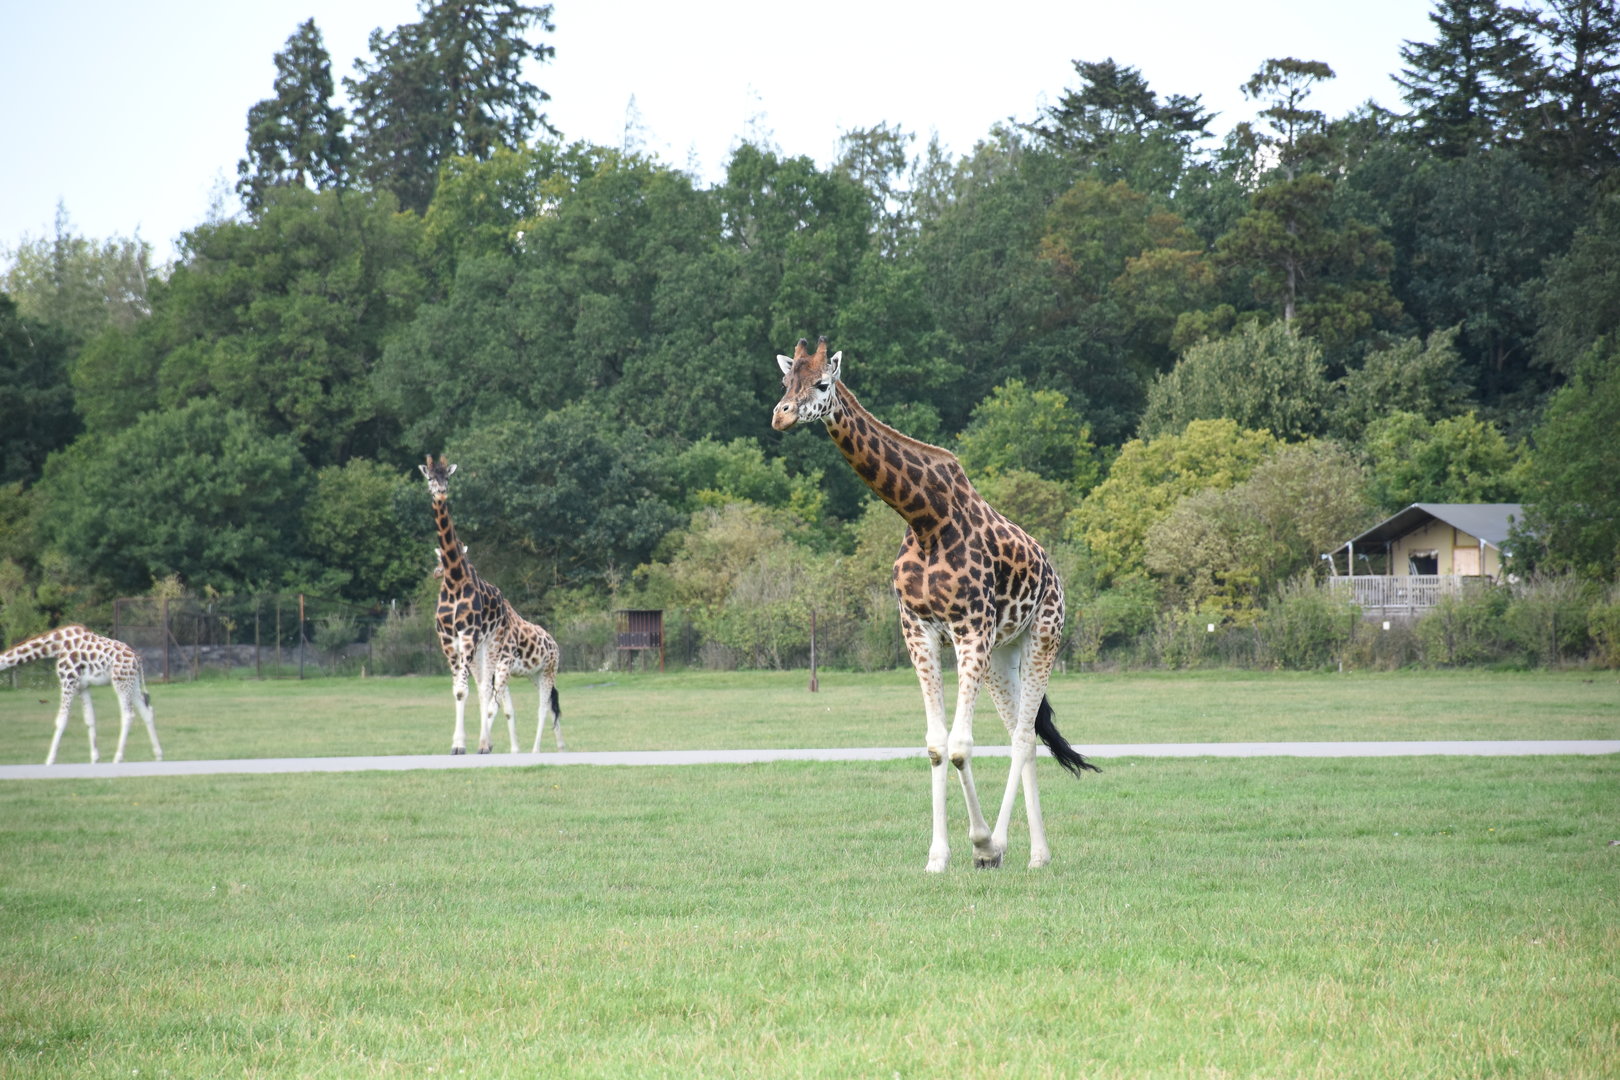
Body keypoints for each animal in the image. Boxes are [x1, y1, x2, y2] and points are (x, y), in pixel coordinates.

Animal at [0, 625, 162, 765]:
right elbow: (89, 718)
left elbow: (61, 719)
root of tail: (137, 659)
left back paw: (118, 757)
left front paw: (50, 760)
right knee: (146, 712)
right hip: (132, 684)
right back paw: (158, 754)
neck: (55, 646)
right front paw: (94, 758)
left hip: (120, 683)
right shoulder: (82, 686)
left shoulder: (68, 681)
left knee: (128, 714)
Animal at [420, 455, 517, 754]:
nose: (440, 492)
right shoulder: (447, 638)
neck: (454, 581)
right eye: (430, 477)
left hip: (491, 642)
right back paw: (484, 742)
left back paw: (485, 744)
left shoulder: (468, 634)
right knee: (482, 684)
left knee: (486, 686)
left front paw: (463, 744)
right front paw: (457, 744)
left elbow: (466, 689)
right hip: (478, 647)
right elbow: (458, 689)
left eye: (447, 477)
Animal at [433, 547, 564, 751]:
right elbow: (507, 710)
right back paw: (561, 746)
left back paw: (536, 750)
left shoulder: (503, 668)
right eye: (438, 557)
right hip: (535, 674)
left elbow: (491, 709)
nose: (437, 572)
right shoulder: (496, 673)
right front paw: (514, 750)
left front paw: (484, 746)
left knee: (542, 708)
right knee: (551, 704)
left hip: (548, 671)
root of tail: (555, 646)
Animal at [772, 337, 1099, 871]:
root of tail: (1052, 571)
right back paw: (1039, 854)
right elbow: (935, 745)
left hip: (1043, 634)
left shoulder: (970, 628)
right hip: (1002, 653)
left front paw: (983, 845)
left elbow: (961, 745)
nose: (780, 416)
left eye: (822, 383)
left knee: (1022, 736)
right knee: (1024, 736)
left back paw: (1009, 848)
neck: (925, 517)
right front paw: (938, 858)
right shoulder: (919, 630)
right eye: (786, 380)